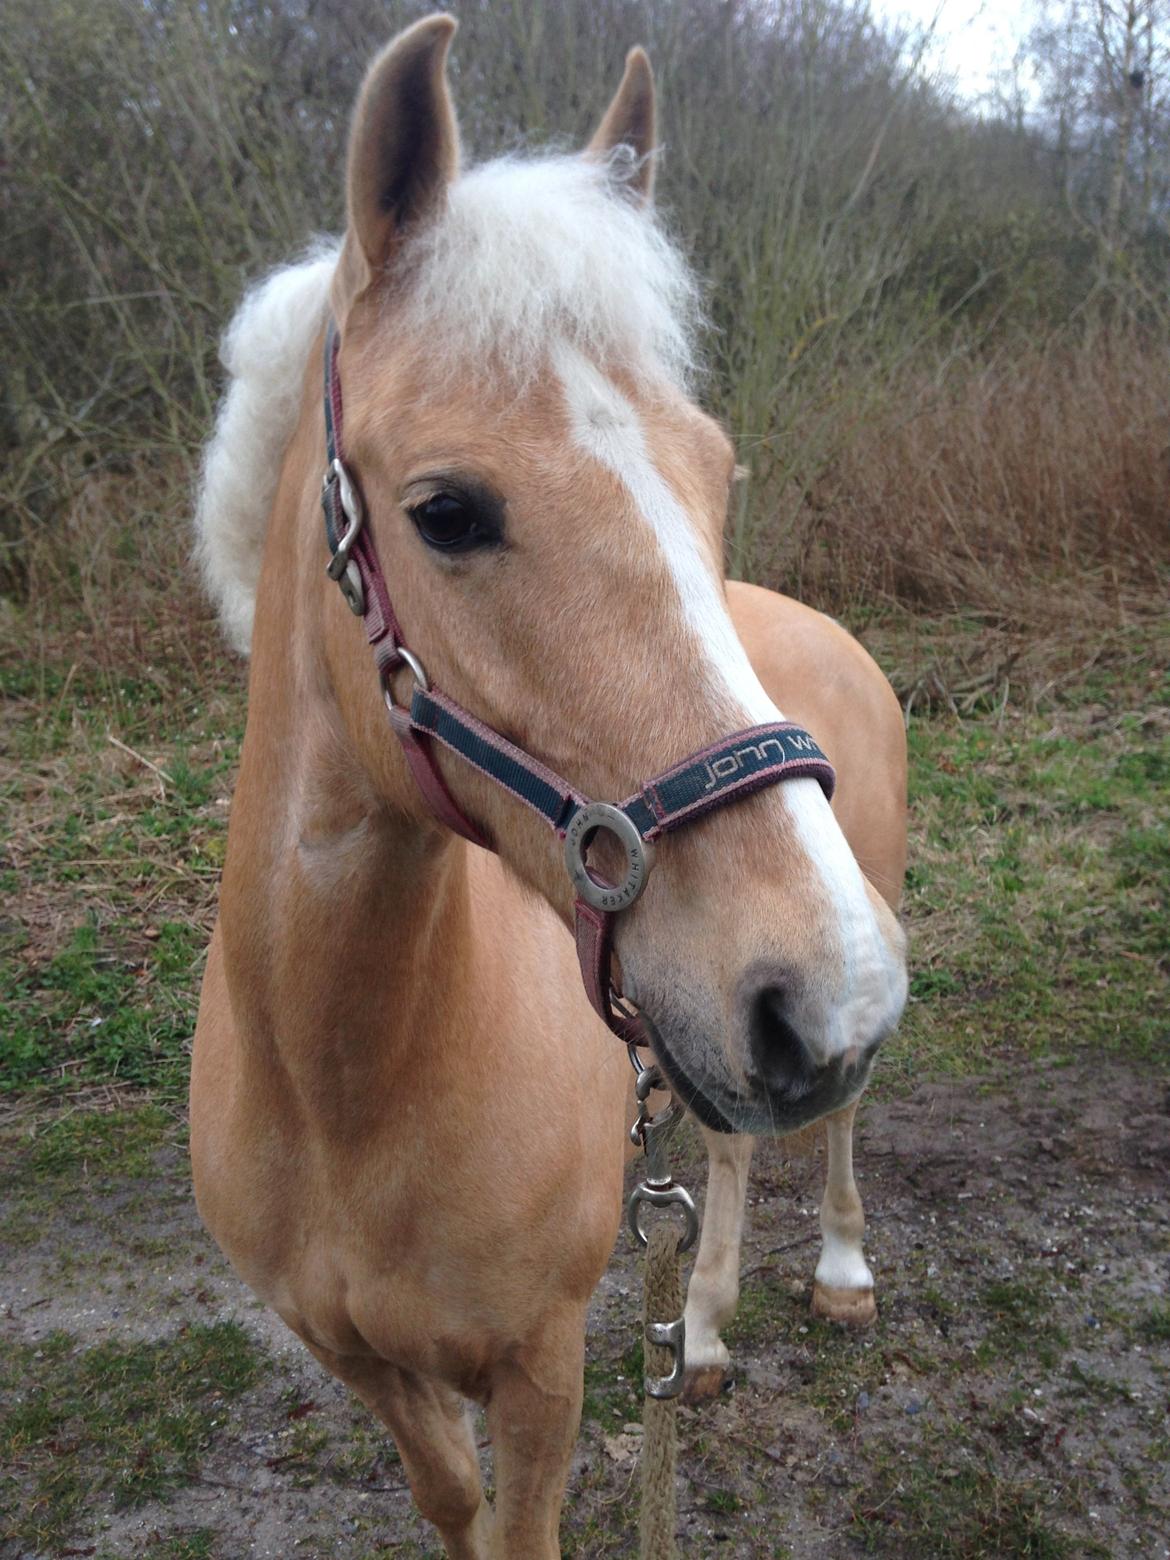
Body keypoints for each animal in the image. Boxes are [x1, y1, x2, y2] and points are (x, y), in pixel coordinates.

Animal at [192, 15, 911, 1560]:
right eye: (447, 511)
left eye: (715, 471)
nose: (817, 993)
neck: (345, 1087)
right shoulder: (370, 1369)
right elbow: (451, 1507)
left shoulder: (544, 1367)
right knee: (730, 1151)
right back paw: (705, 1329)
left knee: (828, 1126)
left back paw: (836, 1268)